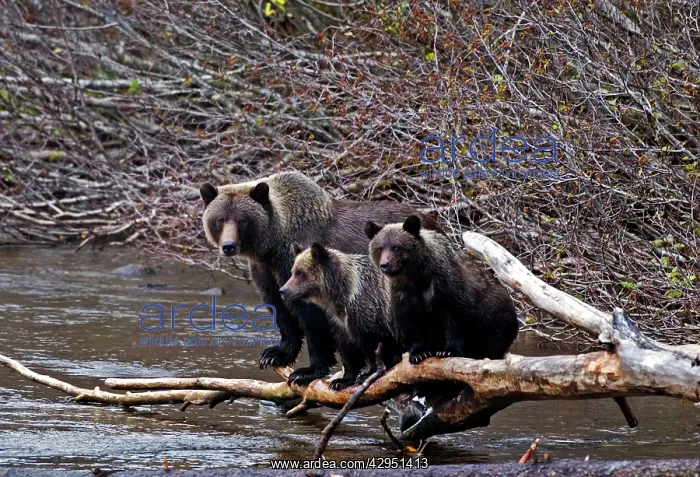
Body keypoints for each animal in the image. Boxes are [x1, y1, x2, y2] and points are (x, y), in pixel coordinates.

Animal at [278, 242, 401, 389]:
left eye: (301, 273)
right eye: (293, 272)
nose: (283, 290)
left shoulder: (370, 313)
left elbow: (374, 346)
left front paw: (368, 374)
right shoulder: (340, 322)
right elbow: (348, 351)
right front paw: (340, 381)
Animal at [365, 215, 519, 364]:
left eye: (396, 247)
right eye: (379, 248)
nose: (385, 264)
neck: (417, 278)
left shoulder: (446, 287)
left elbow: (454, 319)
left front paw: (448, 351)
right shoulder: (403, 295)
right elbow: (411, 324)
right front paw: (418, 353)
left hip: (495, 319)